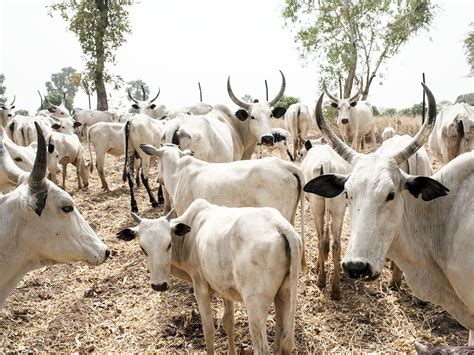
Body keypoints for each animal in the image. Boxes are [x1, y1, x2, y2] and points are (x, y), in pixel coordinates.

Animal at [118, 200, 304, 355]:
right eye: (142, 248)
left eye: (168, 244)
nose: (159, 285)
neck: (190, 236)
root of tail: (281, 226)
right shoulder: (225, 288)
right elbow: (228, 321)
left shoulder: (200, 287)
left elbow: (208, 330)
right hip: (284, 295)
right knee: (281, 341)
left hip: (255, 303)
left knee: (262, 348)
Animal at [302, 140, 350, 300]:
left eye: (301, 153)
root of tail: (327, 162)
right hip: (339, 208)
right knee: (336, 244)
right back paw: (335, 290)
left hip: (316, 206)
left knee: (320, 240)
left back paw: (321, 280)